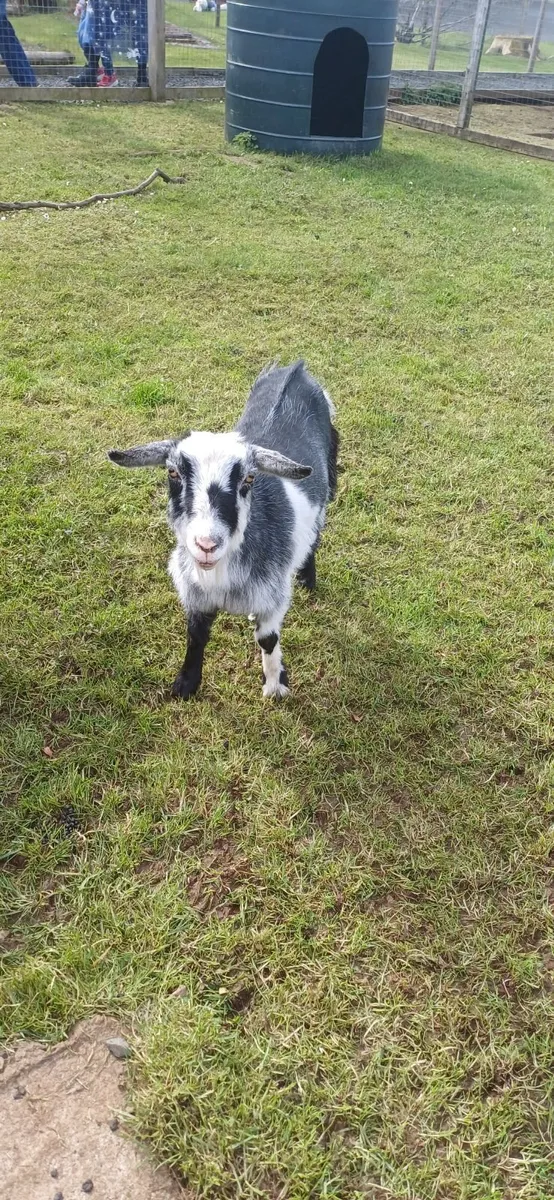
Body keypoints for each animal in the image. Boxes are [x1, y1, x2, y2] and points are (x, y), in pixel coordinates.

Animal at [108, 361, 338, 699]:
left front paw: (275, 686)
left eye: (249, 479)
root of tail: (295, 368)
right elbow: (196, 635)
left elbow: (267, 639)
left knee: (315, 535)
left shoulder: (274, 597)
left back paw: (308, 578)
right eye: (173, 472)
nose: (206, 544)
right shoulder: (196, 593)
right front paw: (186, 685)